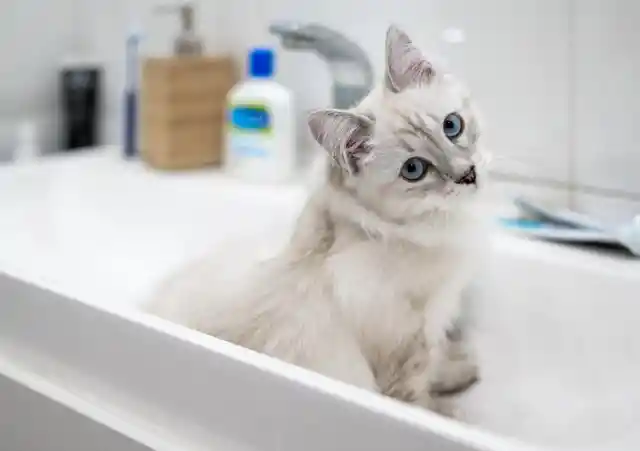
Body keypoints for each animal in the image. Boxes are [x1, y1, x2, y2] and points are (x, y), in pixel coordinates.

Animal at [148, 23, 492, 414]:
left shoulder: (436, 321)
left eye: (452, 126)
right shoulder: (408, 347)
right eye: (414, 170)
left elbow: (439, 363)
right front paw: (448, 411)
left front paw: (460, 370)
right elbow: (420, 398)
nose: (467, 175)